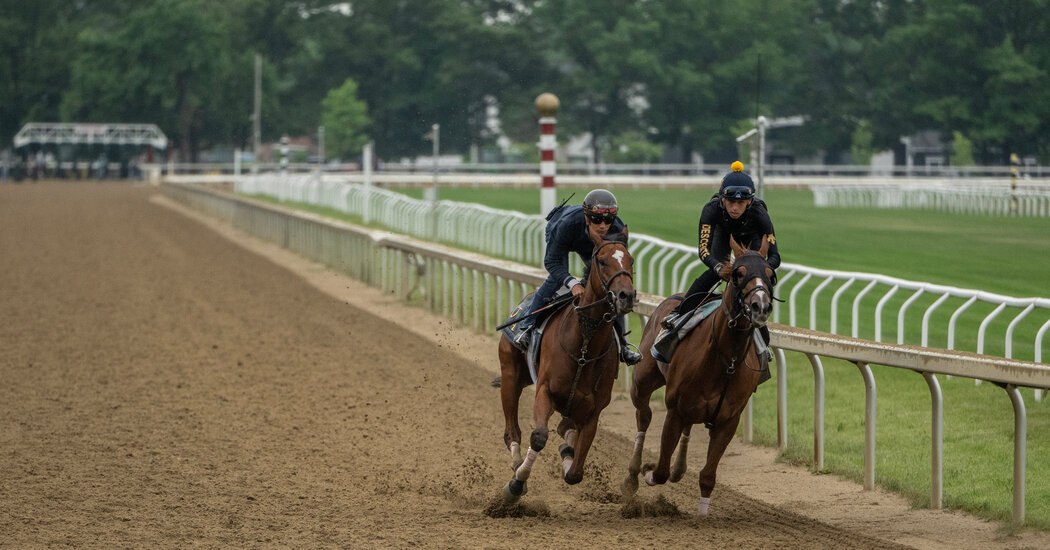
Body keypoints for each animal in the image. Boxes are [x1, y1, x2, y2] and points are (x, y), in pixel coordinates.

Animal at [497, 226, 634, 501]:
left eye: (631, 261)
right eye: (602, 261)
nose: (627, 295)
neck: (584, 348)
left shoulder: (593, 412)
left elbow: (575, 474)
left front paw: (566, 452)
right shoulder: (545, 391)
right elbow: (539, 437)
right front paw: (516, 484)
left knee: (564, 428)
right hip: (511, 376)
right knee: (512, 431)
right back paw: (516, 463)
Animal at [617, 238, 776, 518]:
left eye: (770, 274)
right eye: (739, 274)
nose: (761, 305)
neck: (726, 359)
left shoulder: (728, 421)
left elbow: (708, 476)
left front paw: (702, 517)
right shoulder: (675, 410)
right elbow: (660, 470)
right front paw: (647, 471)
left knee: (686, 428)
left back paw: (679, 469)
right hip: (643, 381)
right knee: (644, 416)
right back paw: (633, 475)